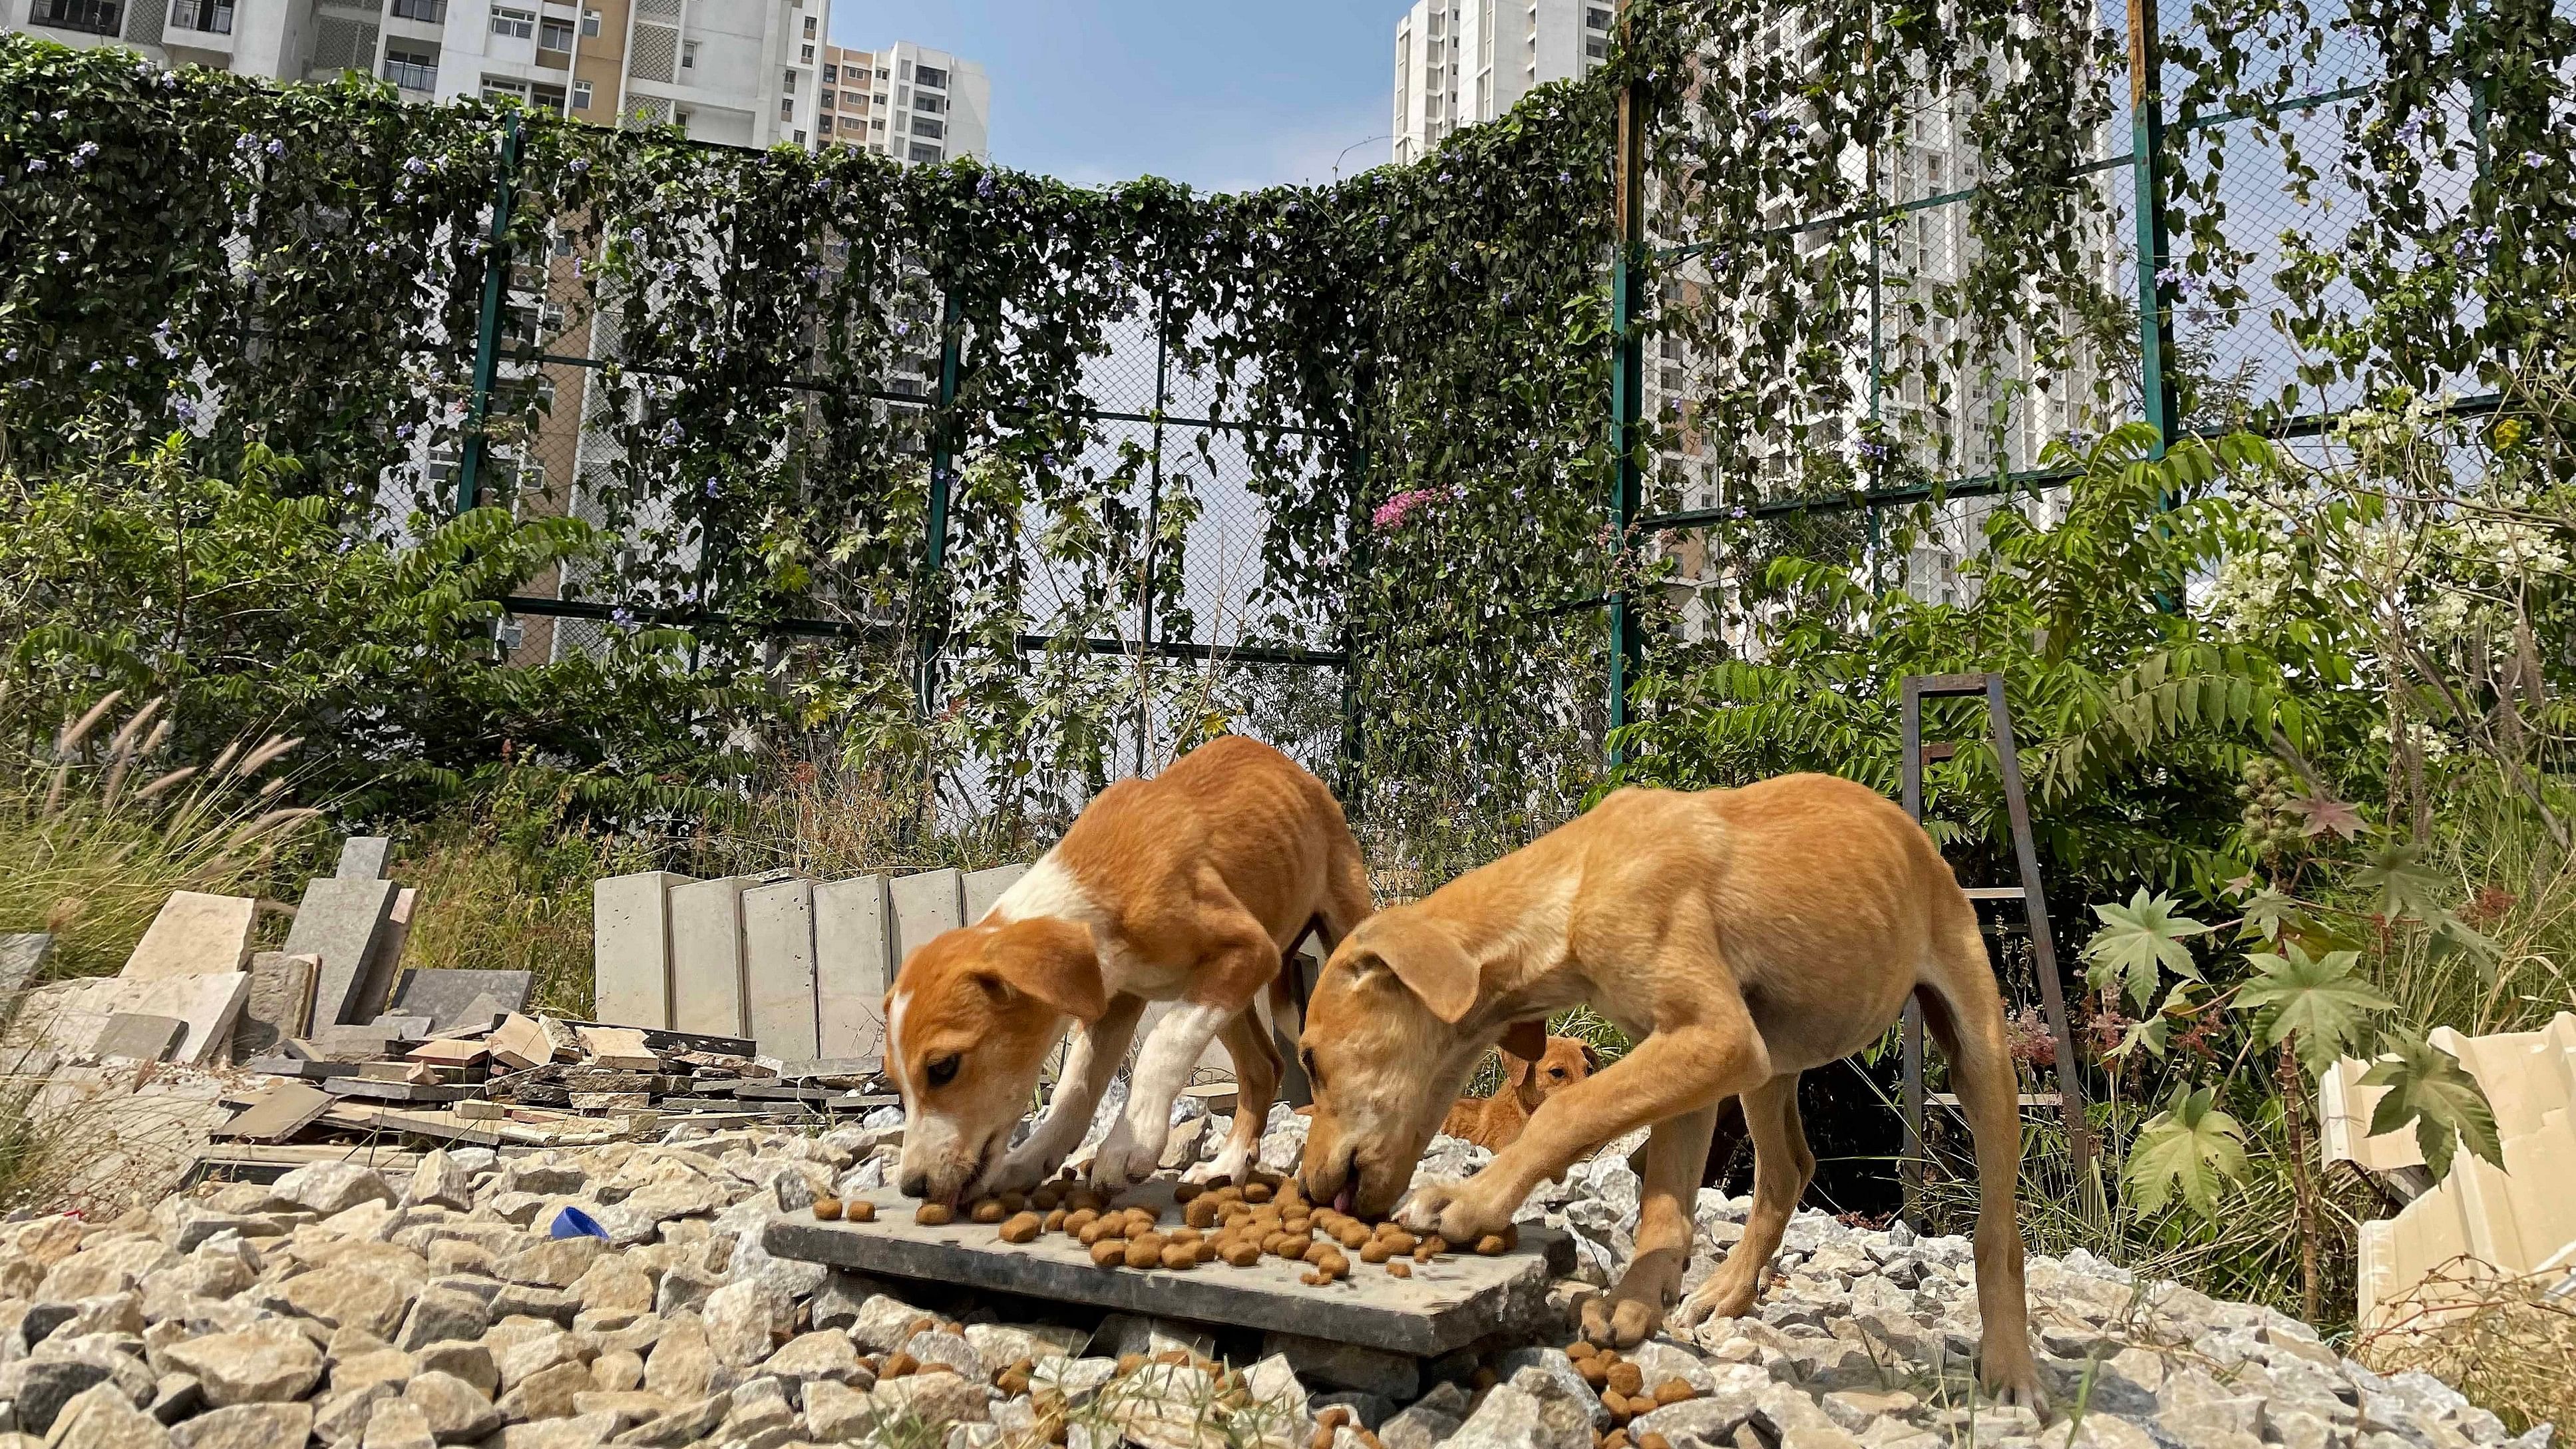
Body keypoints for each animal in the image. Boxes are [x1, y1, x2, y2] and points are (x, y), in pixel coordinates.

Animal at [886, 732, 1370, 1196]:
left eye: (943, 1067)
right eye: (895, 1082)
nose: (913, 1187)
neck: (1094, 887)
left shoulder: (1249, 948)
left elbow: (1161, 1044)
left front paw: (1126, 1146)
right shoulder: (1114, 1002)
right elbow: (1074, 1087)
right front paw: (1031, 1159)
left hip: (1328, 932)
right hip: (1226, 1000)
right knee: (1263, 1066)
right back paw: (1227, 1165)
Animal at [1298, 778, 2040, 1402]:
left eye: (1307, 1056)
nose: (1306, 1186)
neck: (1578, 880)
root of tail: (1917, 837)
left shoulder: (1713, 1036)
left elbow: (1568, 1112)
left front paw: (1469, 1200)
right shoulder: (1692, 1050)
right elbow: (1663, 1201)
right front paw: (1634, 1302)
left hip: (1977, 1054)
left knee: (1998, 1233)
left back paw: (2010, 1370)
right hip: (1771, 1066)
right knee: (1787, 1170)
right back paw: (1726, 1291)